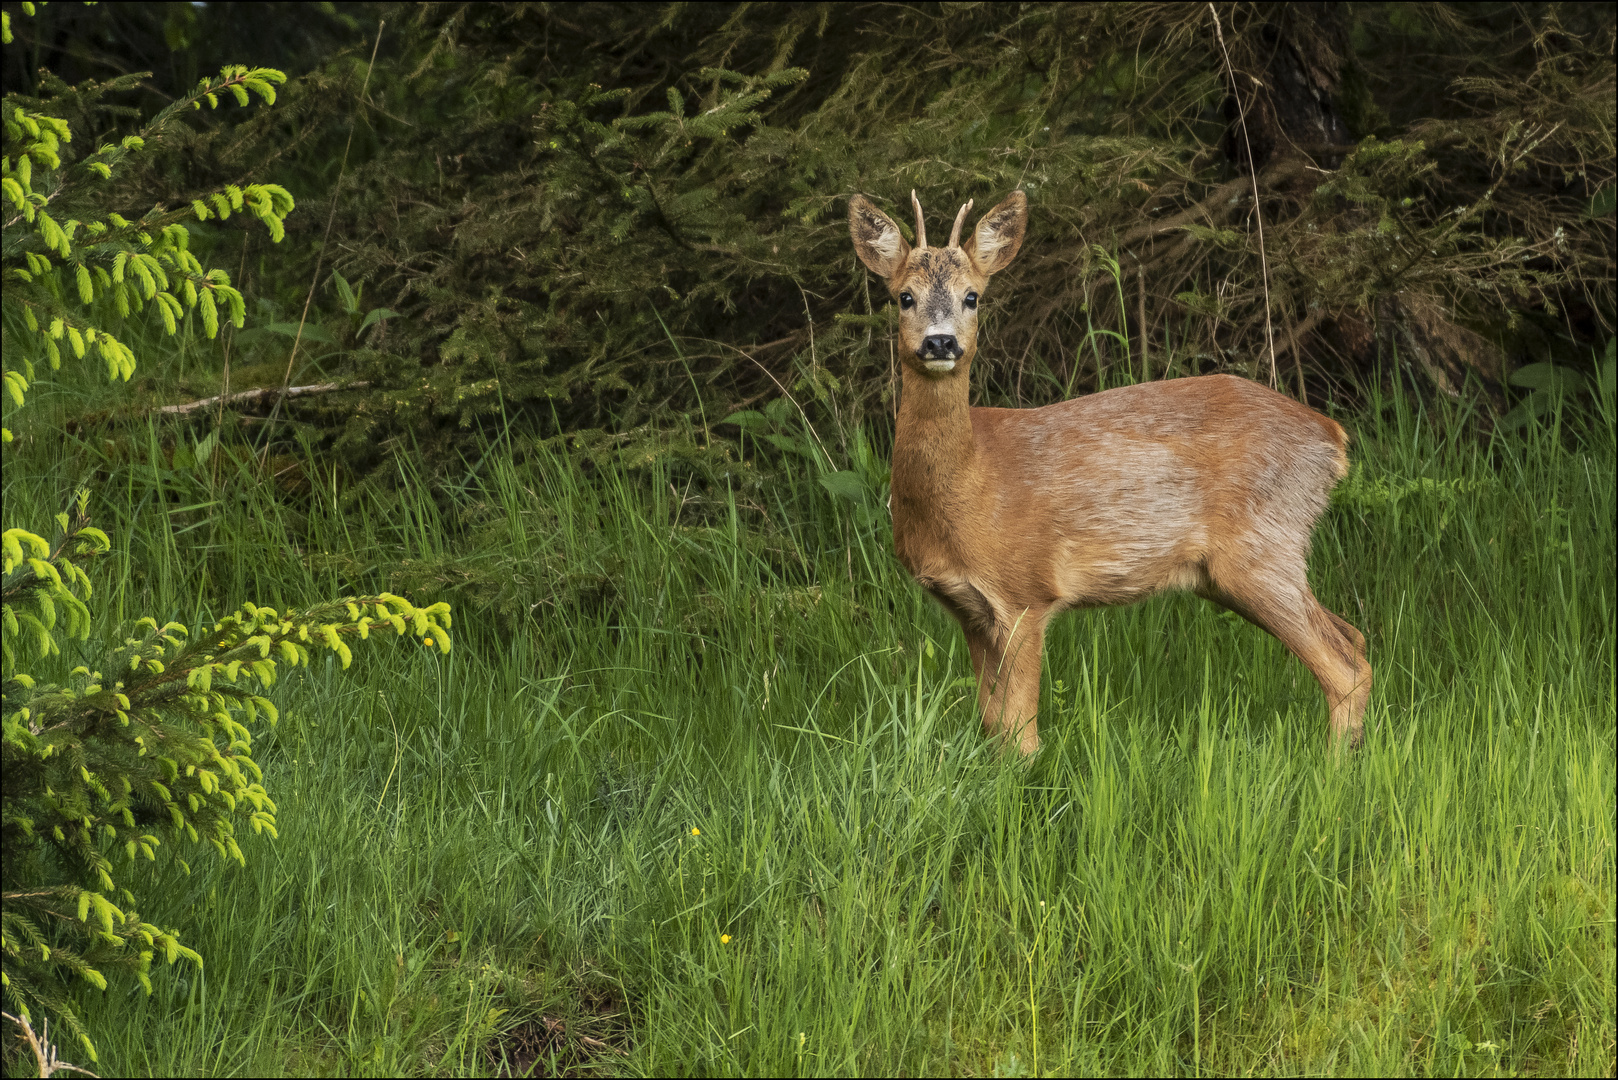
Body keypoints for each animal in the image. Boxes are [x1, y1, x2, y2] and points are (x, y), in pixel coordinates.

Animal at [847, 190, 1365, 757]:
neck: (972, 482)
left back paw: (1333, 767)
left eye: (972, 297)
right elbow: (992, 725)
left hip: (1263, 548)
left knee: (1345, 665)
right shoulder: (970, 609)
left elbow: (1021, 736)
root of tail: (1332, 438)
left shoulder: (1027, 591)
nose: (940, 343)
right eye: (904, 297)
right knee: (1355, 638)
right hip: (1240, 568)